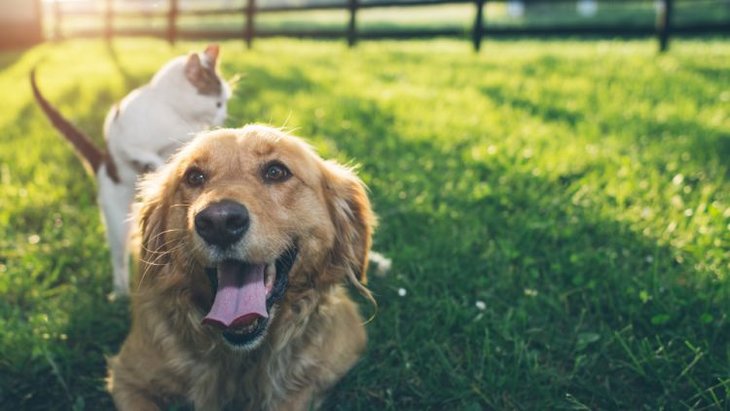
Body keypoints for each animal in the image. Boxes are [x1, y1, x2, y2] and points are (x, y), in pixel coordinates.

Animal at [30, 44, 230, 296]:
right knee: (118, 257)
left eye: (225, 102)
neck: (173, 113)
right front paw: (157, 169)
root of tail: (102, 162)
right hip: (117, 221)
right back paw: (120, 292)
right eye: (218, 103)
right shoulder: (124, 139)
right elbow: (146, 155)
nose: (223, 116)